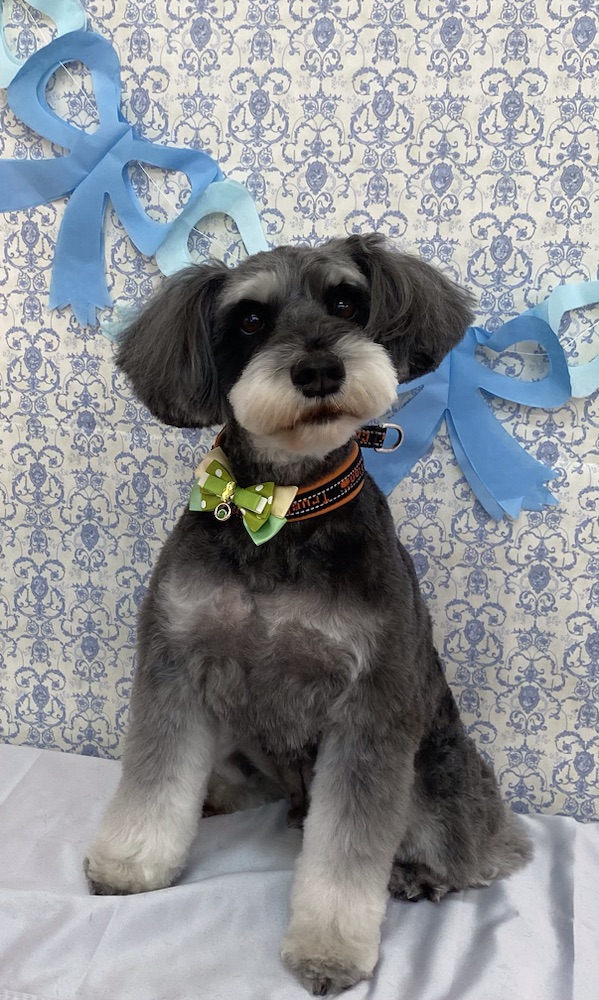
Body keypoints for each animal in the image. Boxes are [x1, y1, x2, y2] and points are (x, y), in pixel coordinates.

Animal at [85, 234, 532, 995]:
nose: (319, 368)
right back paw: (219, 795)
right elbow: (156, 776)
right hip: (243, 739)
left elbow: (347, 851)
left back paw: (422, 873)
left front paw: (329, 949)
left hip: (437, 772)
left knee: (468, 852)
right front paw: (130, 864)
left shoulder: (368, 706)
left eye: (346, 301)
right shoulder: (176, 662)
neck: (281, 507)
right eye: (249, 319)